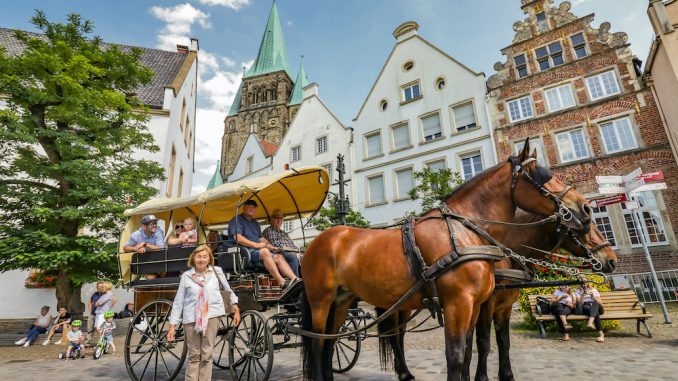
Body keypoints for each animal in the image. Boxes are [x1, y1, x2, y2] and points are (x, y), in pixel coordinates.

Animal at [300, 142, 592, 380]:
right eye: (543, 176)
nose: (586, 208)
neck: (466, 232)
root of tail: (320, 240)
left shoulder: (476, 305)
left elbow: (471, 349)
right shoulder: (458, 303)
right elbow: (456, 356)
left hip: (344, 300)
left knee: (332, 342)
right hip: (321, 300)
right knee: (317, 343)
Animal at [468, 209, 620, 380]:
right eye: (585, 224)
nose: (612, 260)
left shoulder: (504, 307)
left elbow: (503, 341)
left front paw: (507, 375)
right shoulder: (485, 305)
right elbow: (483, 342)